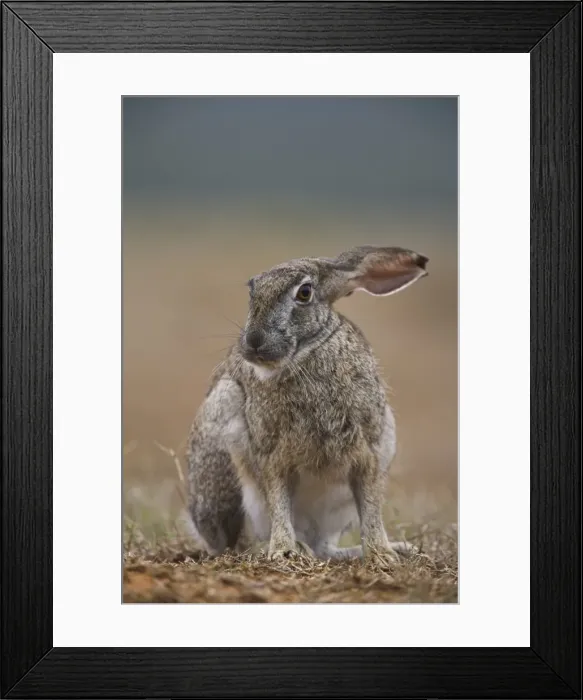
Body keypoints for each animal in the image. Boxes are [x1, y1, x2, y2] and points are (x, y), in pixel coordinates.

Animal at [186, 245, 428, 564]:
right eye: (252, 290)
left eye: (304, 293)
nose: (253, 341)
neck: (307, 352)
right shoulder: (272, 454)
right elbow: (278, 500)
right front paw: (282, 551)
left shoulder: (370, 450)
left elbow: (370, 505)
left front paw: (382, 554)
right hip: (221, 449)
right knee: (237, 542)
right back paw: (283, 548)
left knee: (324, 547)